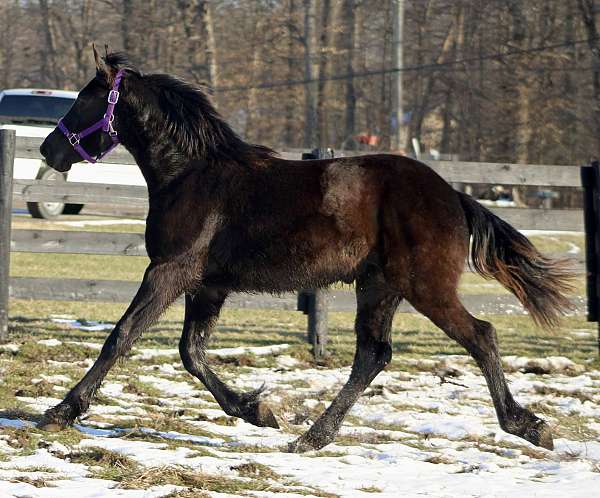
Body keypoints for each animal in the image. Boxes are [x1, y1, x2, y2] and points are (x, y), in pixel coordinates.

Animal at [38, 48, 572, 454]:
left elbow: (121, 336)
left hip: (425, 288)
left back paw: (529, 426)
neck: (192, 175)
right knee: (373, 356)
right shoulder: (207, 286)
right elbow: (191, 353)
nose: (47, 150)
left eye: (84, 100)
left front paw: (61, 411)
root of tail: (453, 196)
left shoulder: (169, 271)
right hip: (378, 288)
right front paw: (258, 410)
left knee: (480, 336)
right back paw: (312, 437)